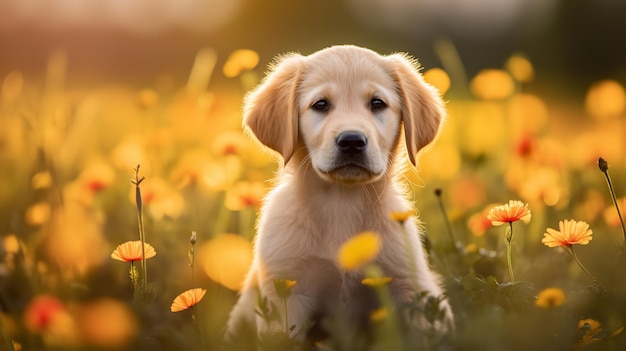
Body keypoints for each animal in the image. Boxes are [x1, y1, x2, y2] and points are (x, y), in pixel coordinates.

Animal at [227, 44, 450, 344]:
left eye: (377, 103)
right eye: (320, 104)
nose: (352, 141)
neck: (342, 202)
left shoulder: (407, 288)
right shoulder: (287, 293)